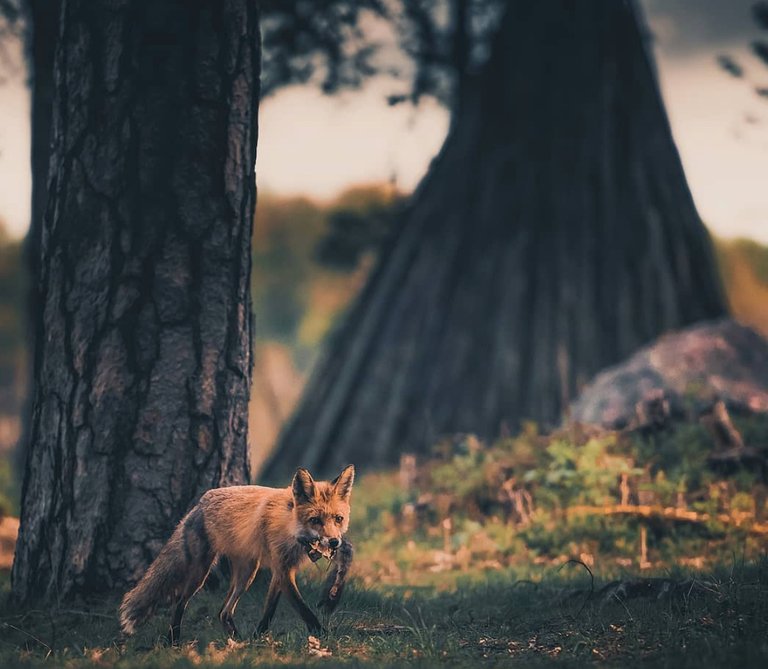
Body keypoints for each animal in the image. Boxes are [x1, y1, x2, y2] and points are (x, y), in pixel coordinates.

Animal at [119, 464, 354, 640]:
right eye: (315, 520)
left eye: (338, 519)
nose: (334, 542)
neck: (290, 527)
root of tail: (200, 503)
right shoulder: (283, 569)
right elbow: (304, 609)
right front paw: (323, 636)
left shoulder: (283, 570)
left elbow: (269, 611)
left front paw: (257, 638)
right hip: (200, 574)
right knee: (179, 603)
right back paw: (173, 641)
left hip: (247, 573)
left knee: (223, 612)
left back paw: (237, 641)